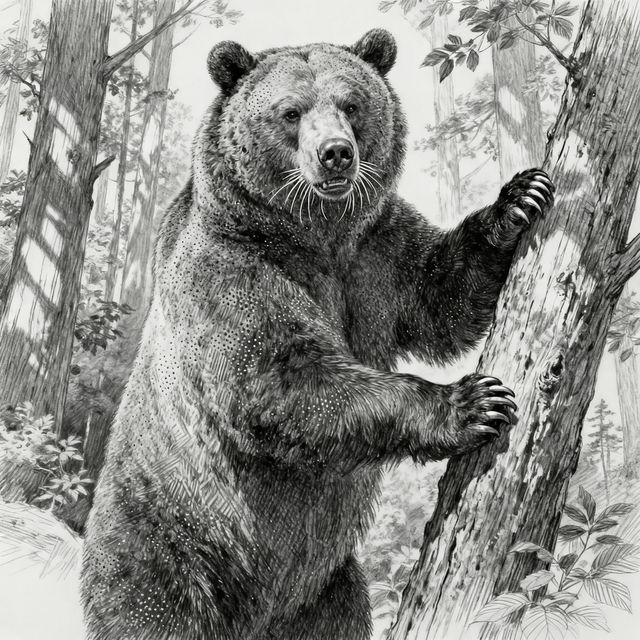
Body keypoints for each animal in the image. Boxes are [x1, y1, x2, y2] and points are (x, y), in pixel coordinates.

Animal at [81, 29, 554, 640]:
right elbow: (279, 381)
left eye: (351, 104)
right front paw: (472, 401)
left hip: (324, 588)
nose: (336, 153)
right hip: (171, 550)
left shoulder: (376, 252)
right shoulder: (227, 271)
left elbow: (439, 297)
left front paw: (518, 199)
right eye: (290, 112)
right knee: (154, 610)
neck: (311, 234)